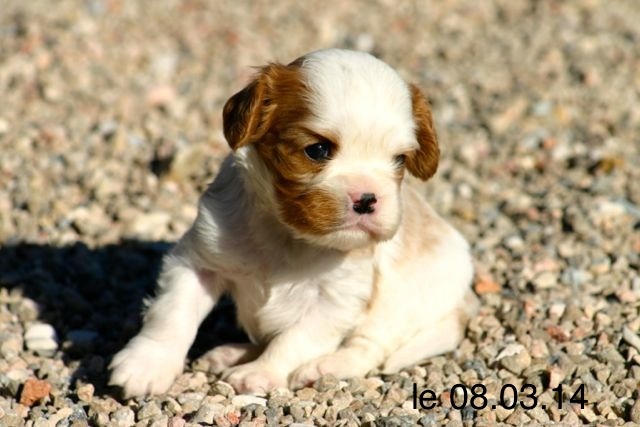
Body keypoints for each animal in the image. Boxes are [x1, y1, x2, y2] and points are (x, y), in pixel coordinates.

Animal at [110, 49, 478, 398]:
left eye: (399, 160)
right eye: (317, 150)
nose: (367, 199)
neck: (289, 235)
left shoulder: (336, 300)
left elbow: (294, 340)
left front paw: (261, 373)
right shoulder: (199, 260)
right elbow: (172, 314)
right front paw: (147, 364)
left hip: (402, 302)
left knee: (368, 348)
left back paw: (323, 367)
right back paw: (233, 353)